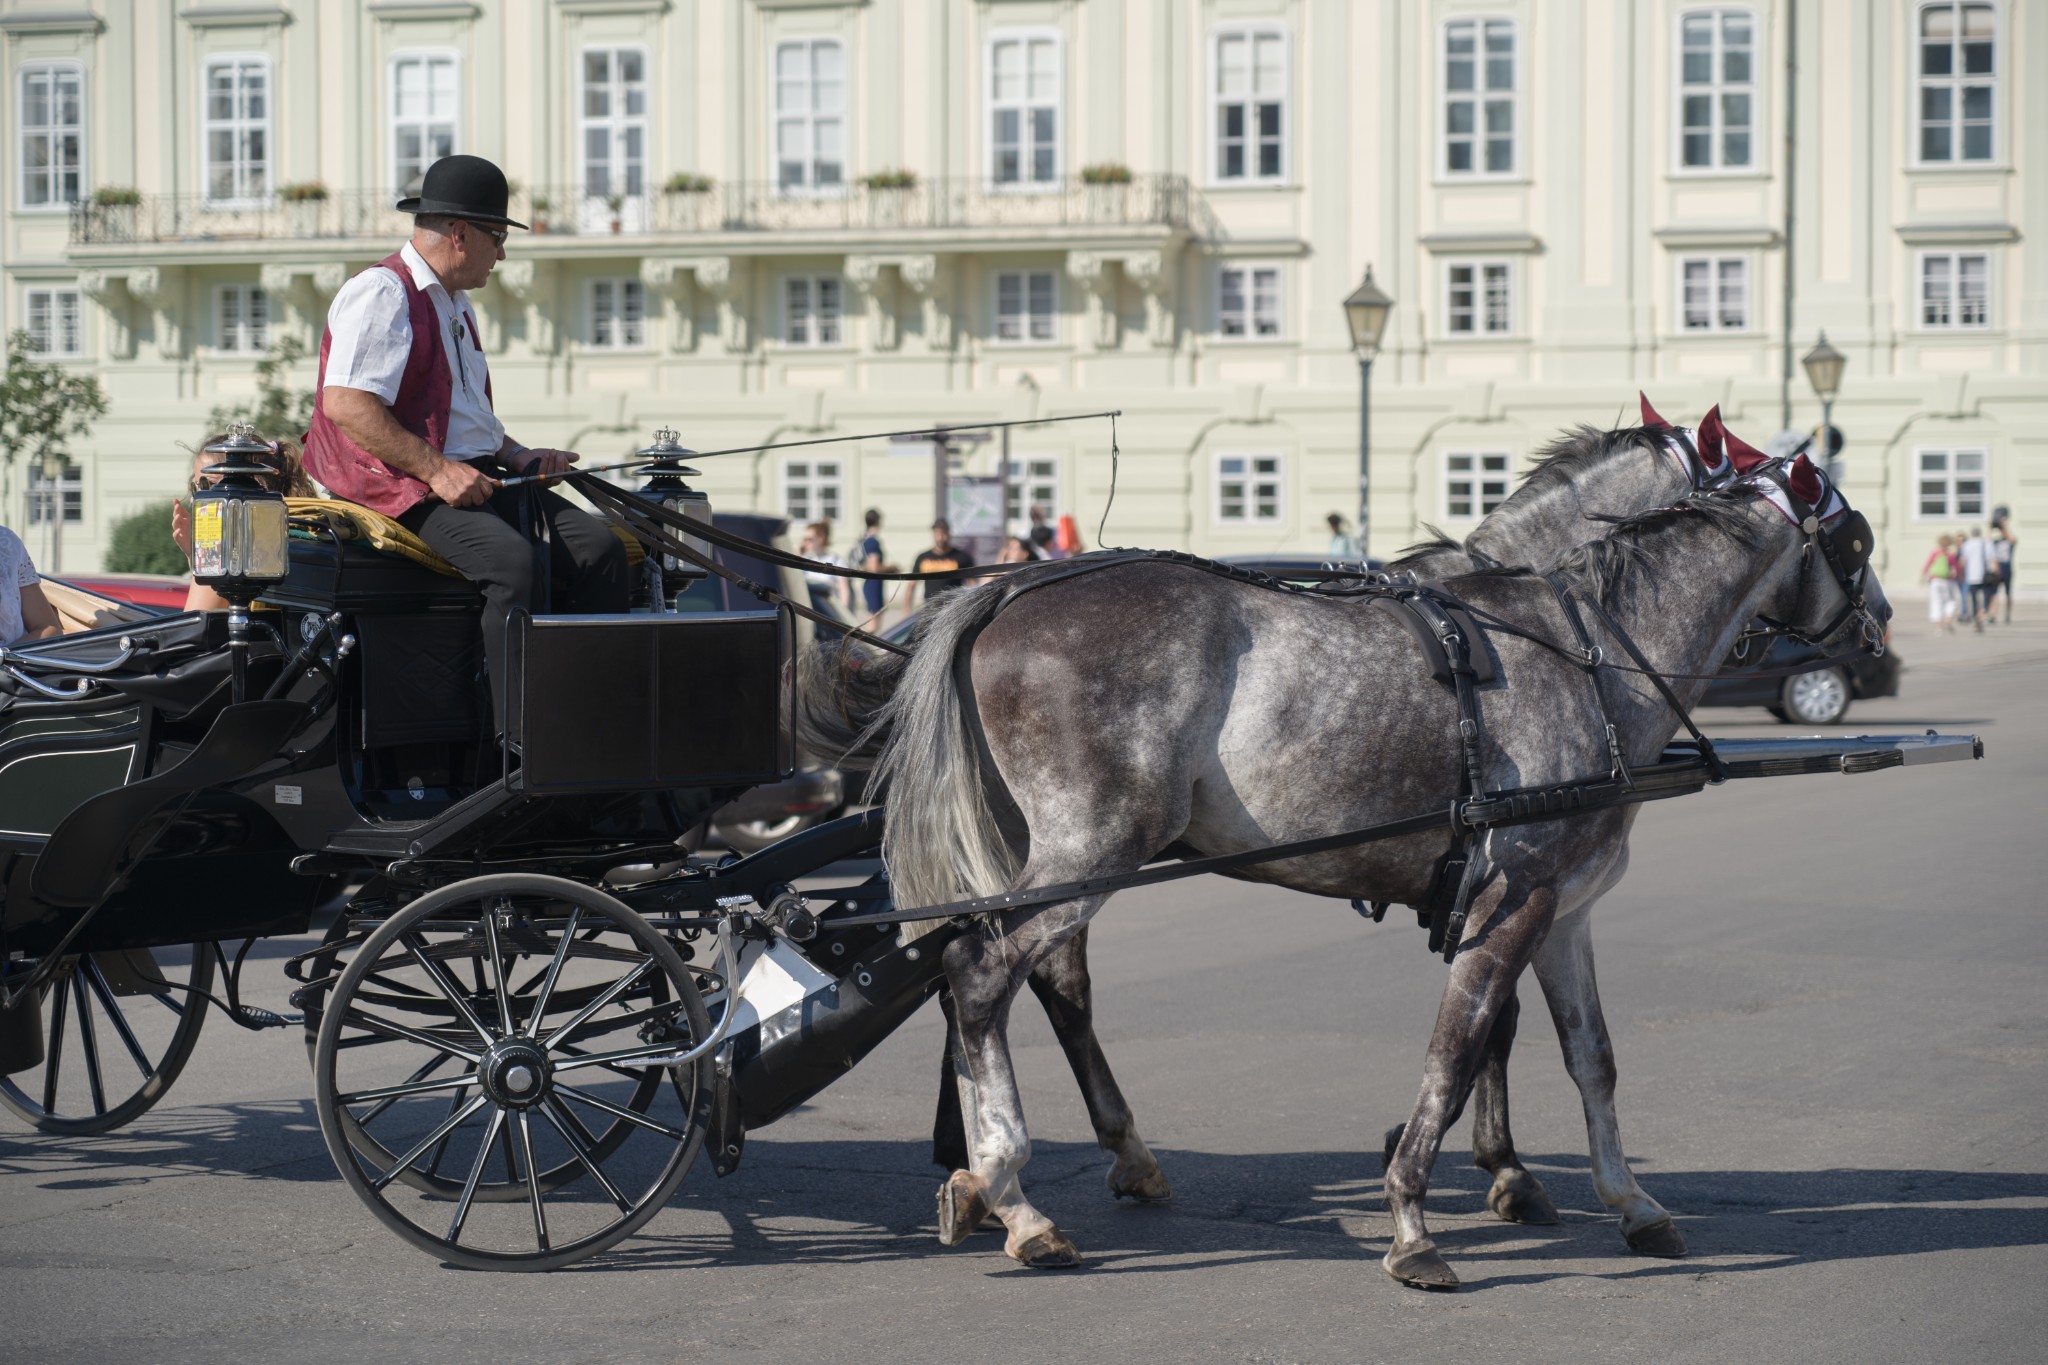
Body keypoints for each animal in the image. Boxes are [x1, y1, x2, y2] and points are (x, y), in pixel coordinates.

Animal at [864, 456, 1884, 1285]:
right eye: (1857, 538)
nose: (1878, 625)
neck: (1588, 655)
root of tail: (1009, 590)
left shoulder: (1565, 909)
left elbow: (1590, 1057)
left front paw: (1628, 1200)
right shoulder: (1510, 899)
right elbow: (1456, 1050)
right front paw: (1417, 1216)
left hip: (1043, 862)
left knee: (998, 977)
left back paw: (997, 1181)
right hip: (1091, 851)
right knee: (980, 974)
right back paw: (1013, 1187)